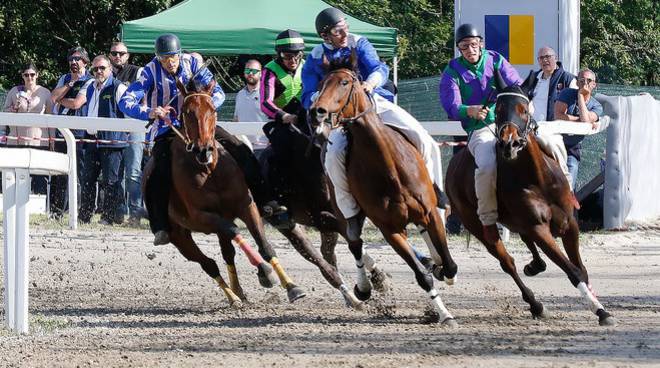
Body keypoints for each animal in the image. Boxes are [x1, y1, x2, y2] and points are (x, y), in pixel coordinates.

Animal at [143, 79, 306, 306]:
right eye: (186, 112)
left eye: (212, 109)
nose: (204, 150)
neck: (210, 171)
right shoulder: (203, 216)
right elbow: (234, 230)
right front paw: (264, 272)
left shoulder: (247, 206)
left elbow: (264, 245)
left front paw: (291, 286)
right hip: (179, 235)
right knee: (208, 263)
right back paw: (233, 296)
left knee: (227, 254)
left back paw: (238, 291)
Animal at [310, 54, 458, 324]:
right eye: (321, 83)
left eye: (345, 82)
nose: (318, 111)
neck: (390, 167)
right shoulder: (390, 229)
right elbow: (422, 277)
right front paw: (443, 314)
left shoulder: (430, 212)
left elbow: (449, 263)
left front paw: (443, 272)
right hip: (342, 208)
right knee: (355, 241)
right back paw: (364, 287)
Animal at [446, 70, 616, 326]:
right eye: (499, 108)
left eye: (524, 109)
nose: (510, 143)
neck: (538, 178)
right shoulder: (538, 228)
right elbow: (572, 270)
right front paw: (600, 310)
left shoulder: (569, 223)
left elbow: (581, 268)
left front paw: (598, 304)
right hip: (477, 224)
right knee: (506, 261)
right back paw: (535, 304)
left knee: (526, 244)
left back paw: (535, 266)